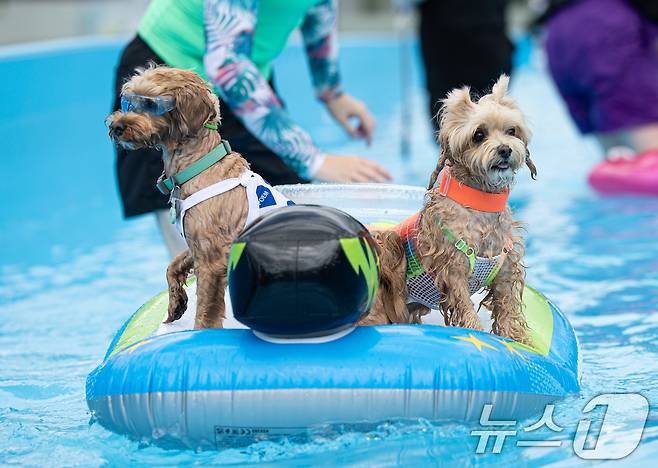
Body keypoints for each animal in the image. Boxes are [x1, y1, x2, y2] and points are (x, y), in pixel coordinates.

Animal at [106, 66, 255, 330]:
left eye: (150, 103)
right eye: (128, 102)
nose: (116, 126)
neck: (199, 166)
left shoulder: (213, 259)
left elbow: (205, 314)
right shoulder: (196, 244)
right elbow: (173, 264)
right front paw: (176, 303)